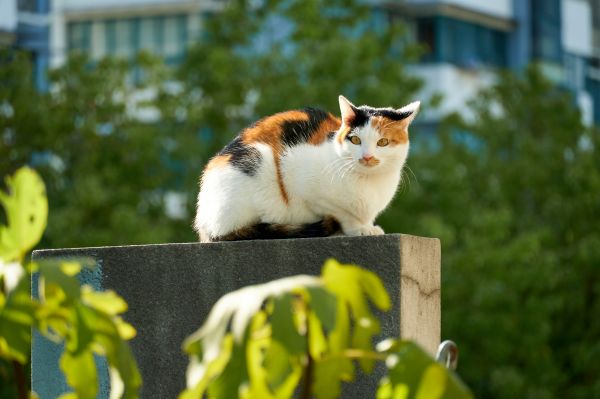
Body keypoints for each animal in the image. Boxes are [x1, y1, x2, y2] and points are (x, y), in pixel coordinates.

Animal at [195, 95, 420, 242]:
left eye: (383, 142)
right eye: (355, 140)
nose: (367, 157)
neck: (368, 181)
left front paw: (367, 226)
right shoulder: (303, 181)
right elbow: (341, 212)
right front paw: (359, 229)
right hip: (257, 159)